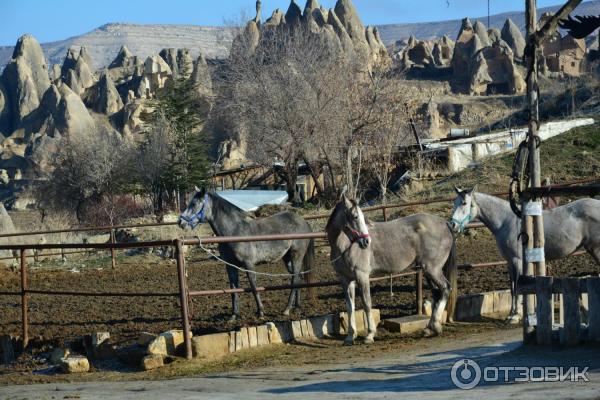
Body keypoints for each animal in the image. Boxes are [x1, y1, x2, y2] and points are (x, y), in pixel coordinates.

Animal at [178, 188, 316, 322]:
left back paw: (287, 309)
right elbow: (233, 289)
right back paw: (296, 307)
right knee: (298, 277)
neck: (234, 232)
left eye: (194, 204)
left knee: (295, 278)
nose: (180, 222)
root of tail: (303, 221)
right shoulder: (230, 266)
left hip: (296, 256)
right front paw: (234, 315)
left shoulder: (249, 264)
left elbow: (253, 286)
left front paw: (260, 312)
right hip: (287, 259)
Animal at [326, 191, 458, 344]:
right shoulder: (346, 279)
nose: (366, 241)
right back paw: (430, 329)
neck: (345, 245)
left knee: (446, 288)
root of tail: (444, 223)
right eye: (355, 216)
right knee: (437, 294)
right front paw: (350, 336)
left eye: (360, 217)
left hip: (433, 269)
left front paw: (369, 335)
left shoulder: (362, 276)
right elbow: (350, 307)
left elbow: (366, 304)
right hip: (428, 271)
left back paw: (435, 326)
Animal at [450, 186, 600, 320]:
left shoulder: (517, 260)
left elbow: (517, 286)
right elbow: (512, 287)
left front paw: (516, 315)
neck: (506, 221)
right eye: (454, 203)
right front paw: (512, 313)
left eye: (464, 203)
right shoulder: (510, 262)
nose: (452, 225)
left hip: (595, 249)